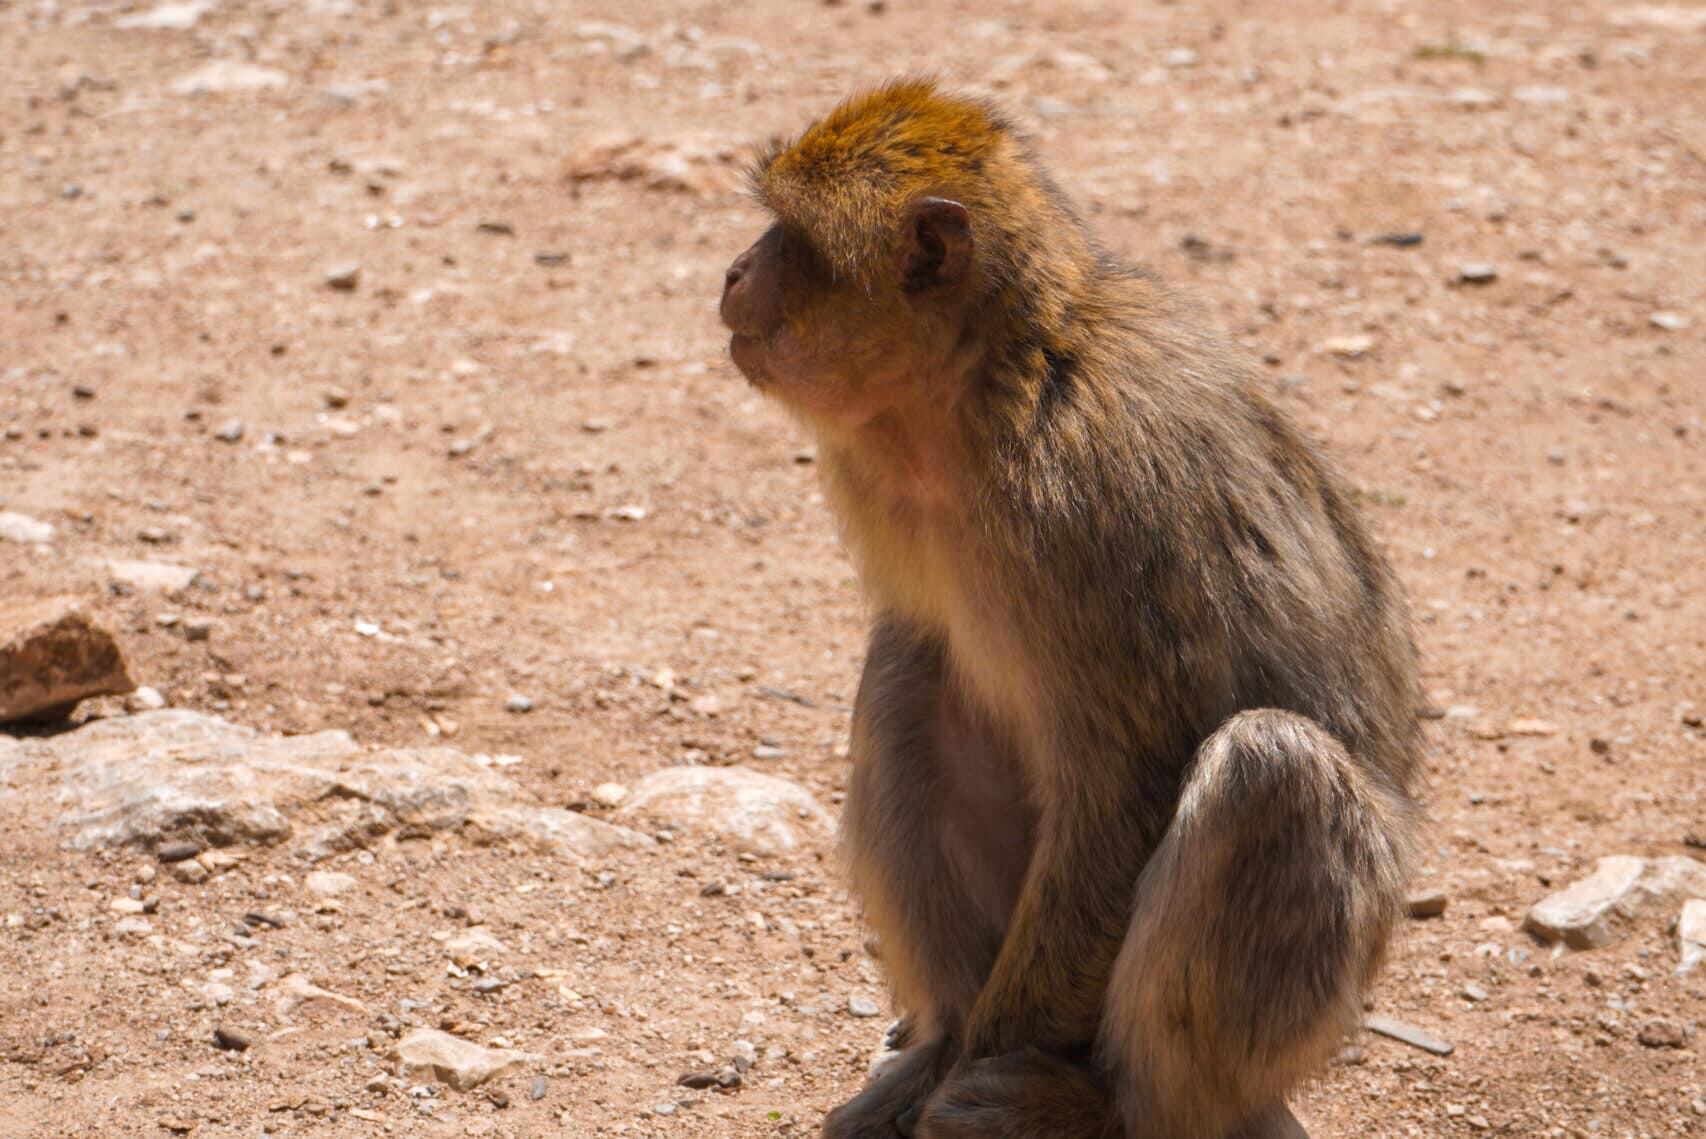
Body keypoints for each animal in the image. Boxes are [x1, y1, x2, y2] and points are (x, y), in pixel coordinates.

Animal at [719, 79, 1421, 1139]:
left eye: (792, 239)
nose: (732, 271)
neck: (986, 387)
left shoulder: (1089, 502)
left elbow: (1129, 787)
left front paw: (984, 1070)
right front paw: (943, 1062)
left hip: (1302, 1012)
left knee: (1272, 772)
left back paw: (1098, 1105)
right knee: (907, 667)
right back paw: (945, 1038)